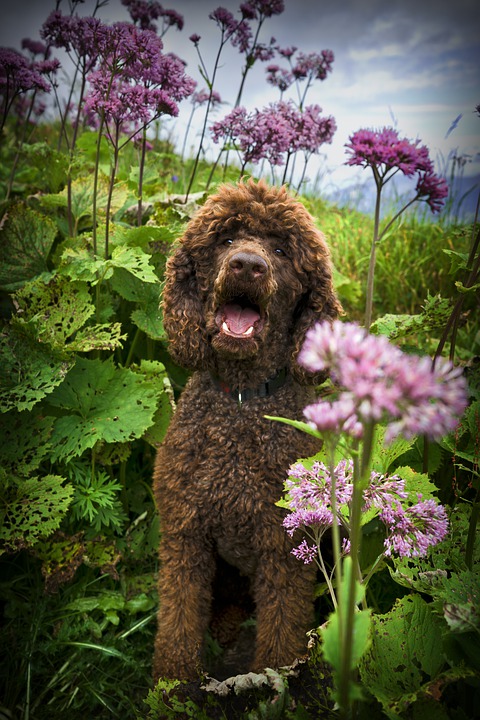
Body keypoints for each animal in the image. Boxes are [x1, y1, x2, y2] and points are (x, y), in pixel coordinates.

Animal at [154, 179, 342, 680]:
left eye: (280, 250)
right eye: (226, 240)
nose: (247, 265)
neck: (241, 400)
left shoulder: (285, 550)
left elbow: (281, 633)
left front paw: (272, 679)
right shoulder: (185, 535)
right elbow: (178, 621)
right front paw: (173, 685)